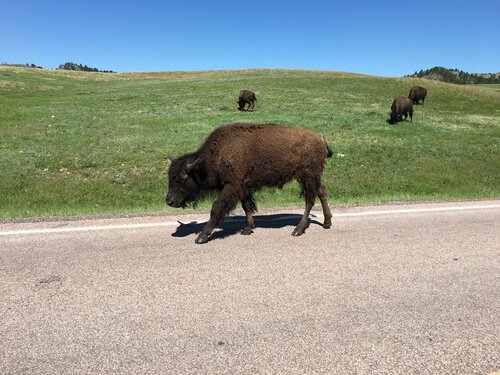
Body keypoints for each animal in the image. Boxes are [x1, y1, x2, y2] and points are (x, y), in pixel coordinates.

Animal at [166, 122, 334, 244]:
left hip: (307, 177)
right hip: (312, 177)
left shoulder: (231, 186)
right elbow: (246, 206)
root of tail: (320, 137)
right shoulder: (243, 187)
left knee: (309, 200)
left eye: (182, 178)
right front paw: (247, 229)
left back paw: (298, 230)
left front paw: (201, 236)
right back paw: (327, 222)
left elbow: (216, 208)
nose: (169, 201)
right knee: (321, 192)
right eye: (169, 177)